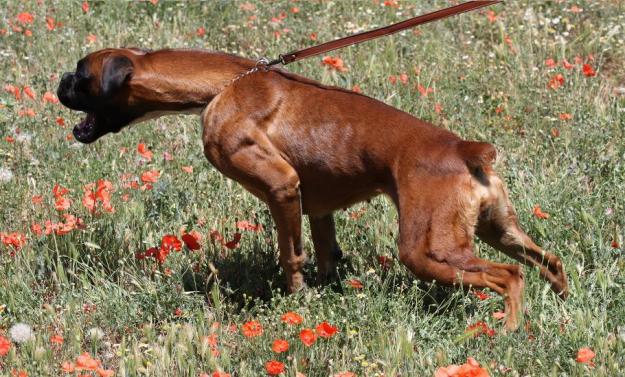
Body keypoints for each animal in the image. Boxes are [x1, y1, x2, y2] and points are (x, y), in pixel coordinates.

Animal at [57, 47, 564, 328]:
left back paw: (508, 332)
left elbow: (290, 255)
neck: (222, 84)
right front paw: (325, 292)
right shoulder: (319, 208)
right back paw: (560, 304)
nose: (58, 80)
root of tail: (465, 149)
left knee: (509, 275)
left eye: (81, 76)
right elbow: (324, 253)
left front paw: (296, 301)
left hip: (429, 249)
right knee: (548, 261)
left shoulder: (283, 189)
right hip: (497, 229)